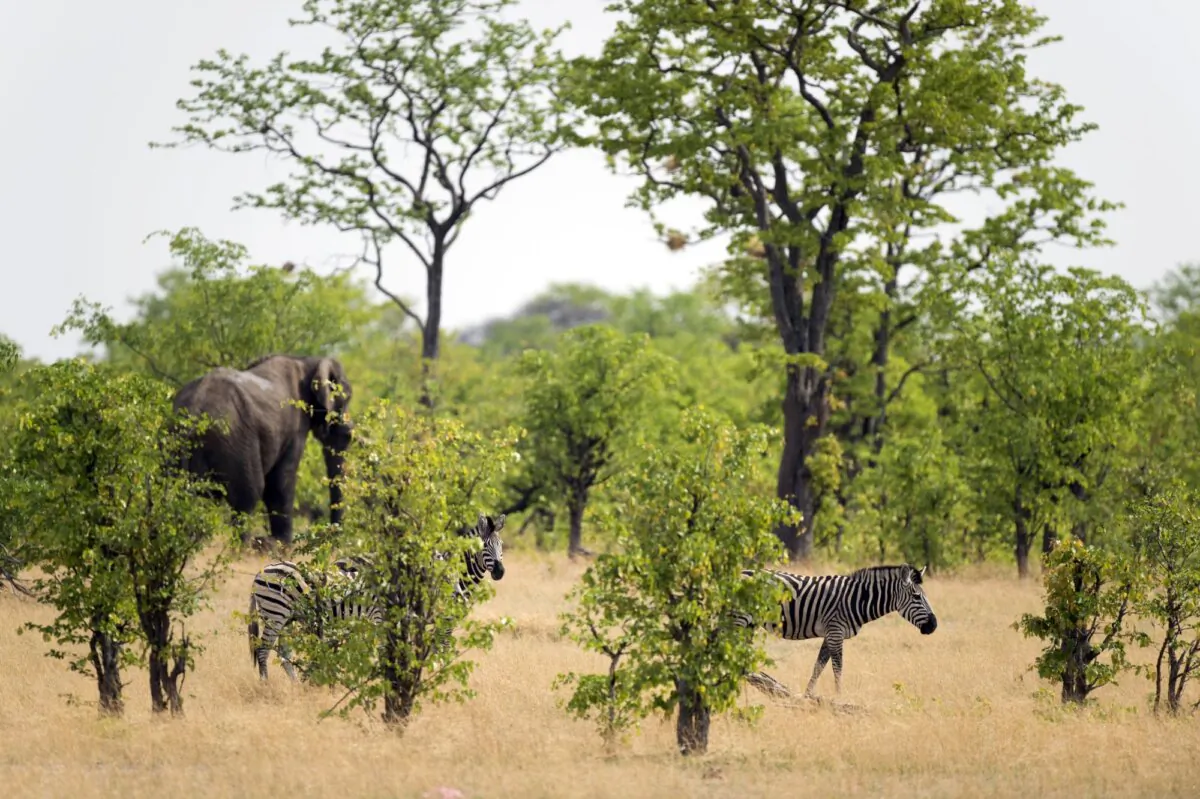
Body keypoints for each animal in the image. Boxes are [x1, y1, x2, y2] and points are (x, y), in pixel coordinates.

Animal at [172, 355, 354, 547]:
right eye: (347, 398)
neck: (308, 362)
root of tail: (193, 413)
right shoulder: (295, 427)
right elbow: (279, 482)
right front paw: (282, 546)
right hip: (236, 441)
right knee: (249, 495)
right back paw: (244, 548)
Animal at [246, 512, 507, 681]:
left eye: (502, 546)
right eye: (485, 546)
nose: (500, 572)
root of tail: (262, 570)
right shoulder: (434, 621)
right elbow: (435, 649)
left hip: (288, 618)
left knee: (284, 653)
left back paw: (295, 685)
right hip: (276, 614)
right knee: (263, 650)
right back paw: (265, 685)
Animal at [735, 563, 938, 697]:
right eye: (916, 596)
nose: (934, 625)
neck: (857, 600)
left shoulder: (829, 634)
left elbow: (818, 666)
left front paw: (806, 697)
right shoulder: (835, 632)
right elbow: (837, 668)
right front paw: (839, 699)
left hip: (748, 625)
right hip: (739, 618)